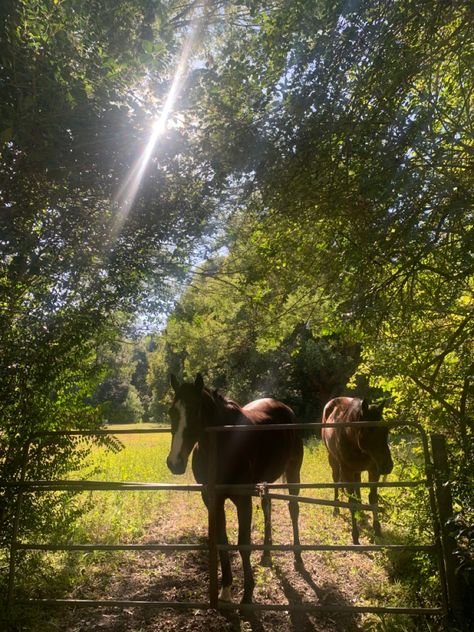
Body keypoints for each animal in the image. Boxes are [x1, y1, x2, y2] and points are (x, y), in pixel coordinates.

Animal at [167, 372, 304, 604]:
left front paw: (247, 595)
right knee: (267, 506)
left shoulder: (242, 499)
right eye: (171, 412)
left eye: (195, 411)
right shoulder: (212, 499)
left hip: (293, 471)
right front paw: (226, 590)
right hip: (266, 480)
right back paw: (266, 555)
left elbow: (243, 544)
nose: (174, 462)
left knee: (293, 510)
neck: (222, 446)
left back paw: (298, 557)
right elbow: (223, 541)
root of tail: (285, 408)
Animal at [322, 398, 392, 544]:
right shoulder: (347, 471)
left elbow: (373, 497)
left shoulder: (373, 470)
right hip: (334, 462)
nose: (388, 466)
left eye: (386, 430)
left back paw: (362, 514)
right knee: (336, 482)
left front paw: (377, 530)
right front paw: (355, 536)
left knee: (357, 485)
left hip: (357, 470)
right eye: (369, 430)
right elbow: (352, 501)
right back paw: (336, 509)